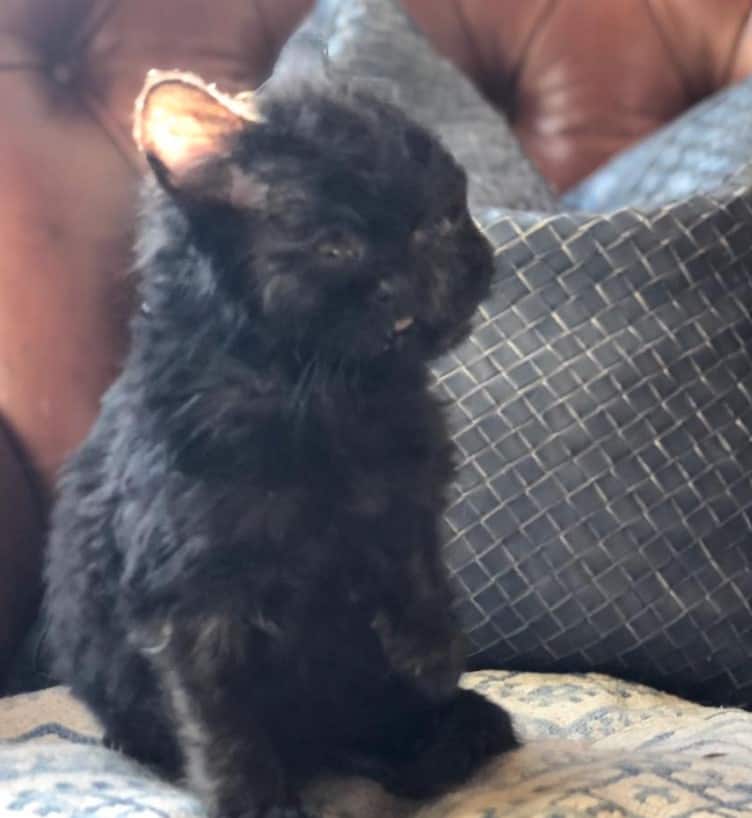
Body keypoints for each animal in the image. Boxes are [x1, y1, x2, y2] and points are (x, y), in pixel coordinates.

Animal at [45, 73, 516, 812]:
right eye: (337, 244)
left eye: (445, 214)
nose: (430, 259)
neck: (329, 398)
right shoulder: (191, 599)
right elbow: (223, 722)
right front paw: (253, 801)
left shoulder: (413, 495)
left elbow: (415, 561)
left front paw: (433, 653)